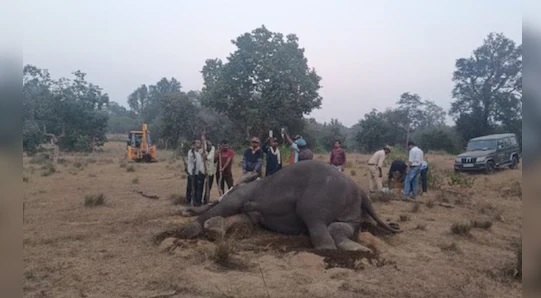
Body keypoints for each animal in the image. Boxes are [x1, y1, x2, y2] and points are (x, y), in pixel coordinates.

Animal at [179, 159, 398, 250]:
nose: (185, 211)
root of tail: (360, 189)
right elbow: (244, 217)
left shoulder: (242, 193)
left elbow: (230, 206)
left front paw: (193, 229)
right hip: (347, 208)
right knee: (341, 227)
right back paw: (359, 250)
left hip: (317, 199)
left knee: (317, 225)